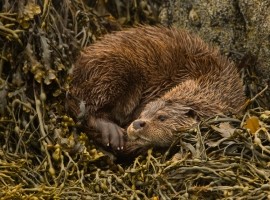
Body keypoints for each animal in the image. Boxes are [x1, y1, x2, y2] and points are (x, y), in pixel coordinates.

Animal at [68, 25, 246, 152]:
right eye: (143, 114)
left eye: (161, 117)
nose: (138, 123)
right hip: (114, 69)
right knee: (87, 109)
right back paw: (111, 131)